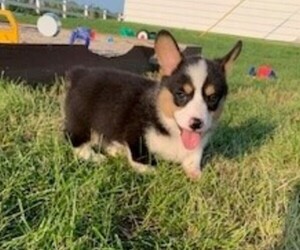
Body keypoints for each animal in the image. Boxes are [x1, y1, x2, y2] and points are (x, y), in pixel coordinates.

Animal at [63, 30, 241, 180]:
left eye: (213, 98)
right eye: (181, 94)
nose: (196, 124)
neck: (172, 130)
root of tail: (80, 72)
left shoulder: (195, 150)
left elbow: (193, 161)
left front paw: (197, 175)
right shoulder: (135, 131)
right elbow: (140, 156)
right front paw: (151, 170)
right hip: (81, 119)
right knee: (74, 139)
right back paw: (93, 155)